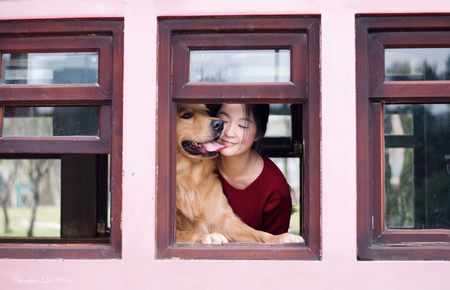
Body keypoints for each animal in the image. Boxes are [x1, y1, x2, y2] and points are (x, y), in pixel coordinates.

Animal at [175, 104, 302, 245]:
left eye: (206, 112)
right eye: (187, 115)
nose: (219, 123)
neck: (190, 176)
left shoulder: (224, 219)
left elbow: (256, 232)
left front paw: (280, 237)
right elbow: (184, 233)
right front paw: (208, 236)